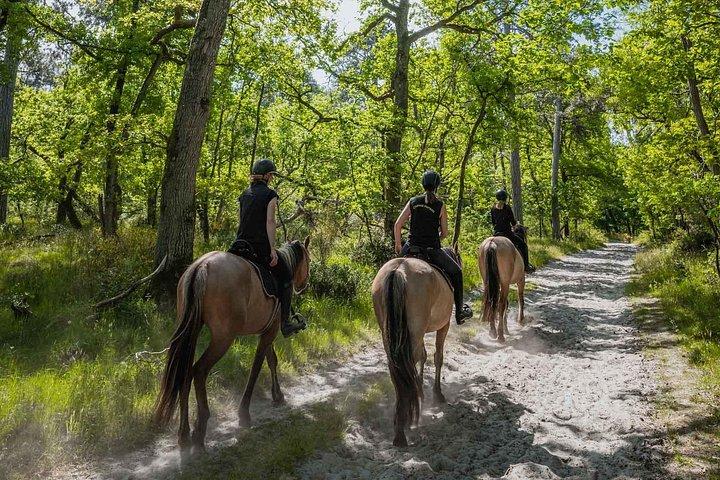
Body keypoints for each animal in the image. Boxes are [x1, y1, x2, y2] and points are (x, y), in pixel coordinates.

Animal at [153, 237, 310, 454]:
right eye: (308, 260)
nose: (304, 284)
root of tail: (202, 266)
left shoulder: (266, 331)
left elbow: (271, 360)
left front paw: (278, 395)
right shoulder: (270, 332)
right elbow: (257, 366)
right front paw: (244, 413)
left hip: (191, 330)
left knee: (185, 373)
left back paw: (184, 434)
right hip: (223, 338)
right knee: (199, 371)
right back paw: (200, 430)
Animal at [372, 246, 461, 447]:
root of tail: (398, 270)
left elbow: (423, 356)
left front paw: (420, 389)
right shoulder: (444, 325)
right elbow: (437, 357)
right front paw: (437, 394)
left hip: (391, 333)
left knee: (399, 370)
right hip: (416, 330)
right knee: (409, 364)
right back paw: (403, 429)